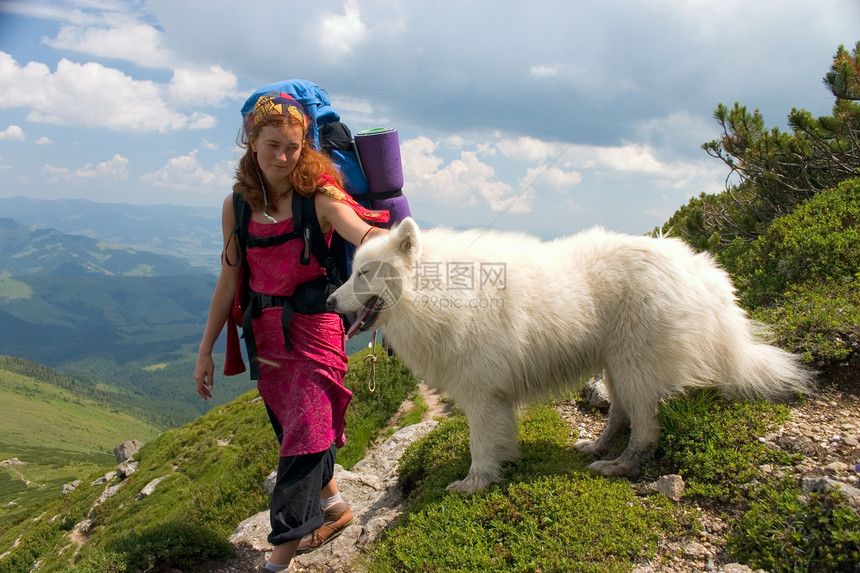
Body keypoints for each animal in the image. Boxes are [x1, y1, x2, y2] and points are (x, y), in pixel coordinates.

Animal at [326, 217, 808, 494]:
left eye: (363, 273)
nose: (329, 301)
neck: (437, 291)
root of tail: (700, 269)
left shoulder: (482, 394)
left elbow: (481, 444)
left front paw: (473, 483)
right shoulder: (492, 396)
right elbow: (496, 439)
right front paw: (495, 470)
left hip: (633, 366)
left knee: (645, 429)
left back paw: (618, 466)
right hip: (616, 365)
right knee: (620, 415)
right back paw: (597, 446)